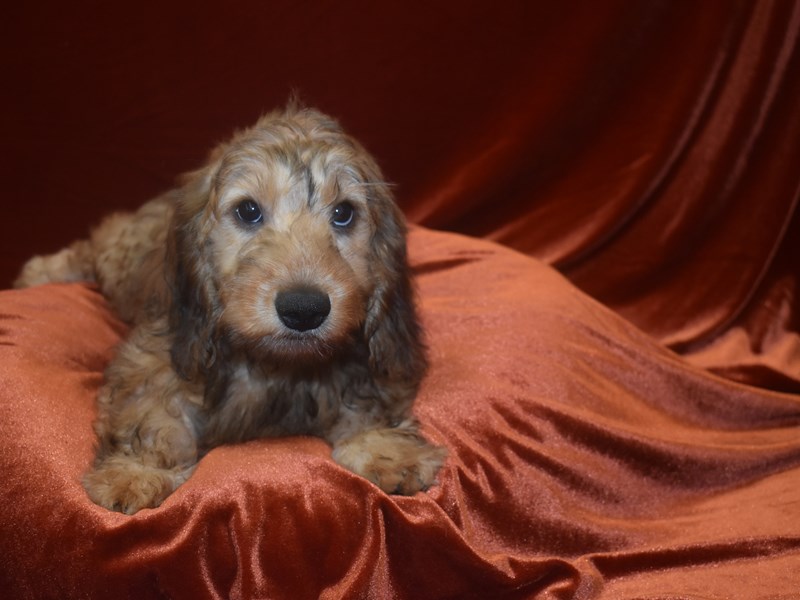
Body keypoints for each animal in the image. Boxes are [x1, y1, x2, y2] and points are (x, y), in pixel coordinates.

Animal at [15, 104, 446, 516]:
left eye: (343, 213)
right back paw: (41, 271)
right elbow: (148, 413)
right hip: (119, 255)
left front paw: (388, 449)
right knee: (93, 243)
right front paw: (135, 471)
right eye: (248, 211)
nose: (304, 309)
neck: (275, 365)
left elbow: (370, 397)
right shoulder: (164, 351)